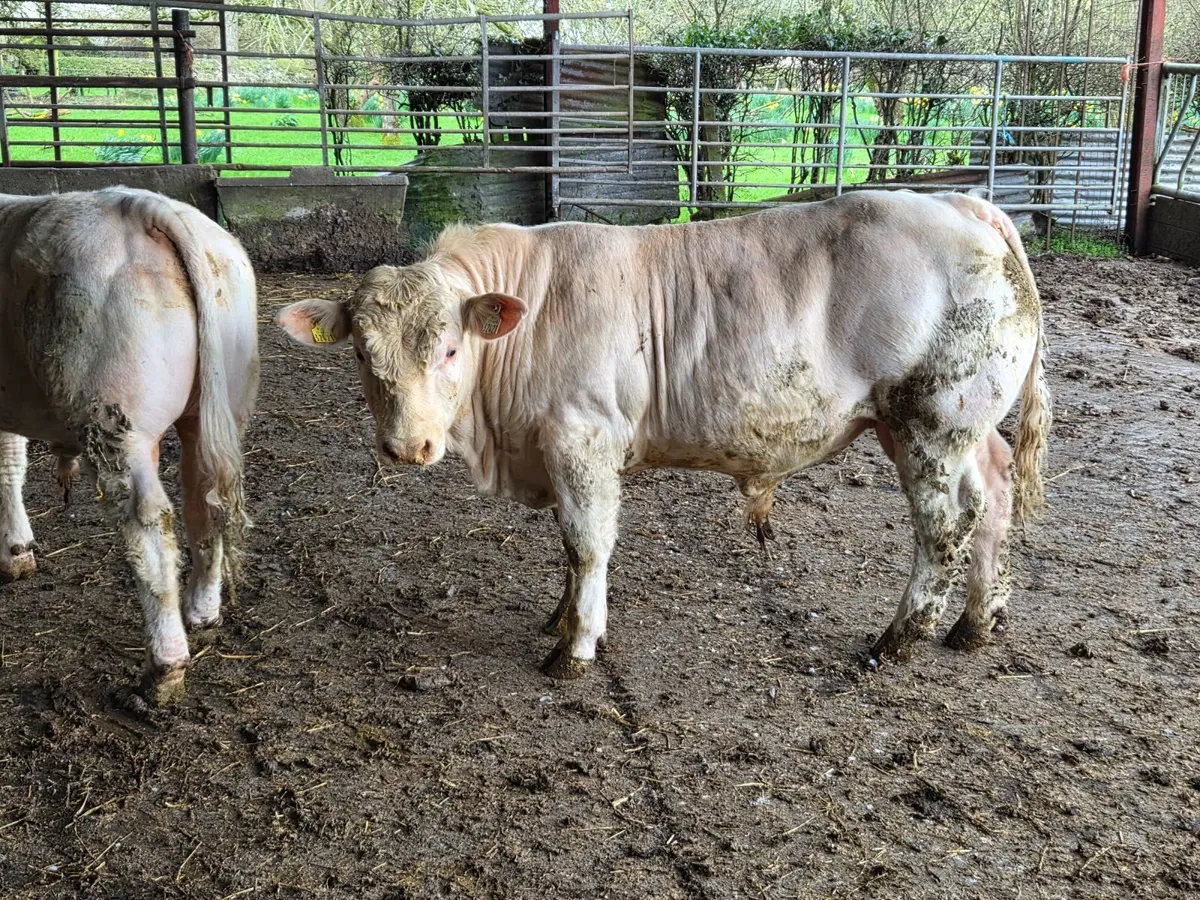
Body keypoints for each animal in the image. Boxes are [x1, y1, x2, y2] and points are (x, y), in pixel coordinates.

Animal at [0, 187, 259, 704]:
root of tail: (139, 207)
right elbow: (12, 463)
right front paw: (17, 551)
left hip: (119, 424)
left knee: (149, 525)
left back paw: (163, 669)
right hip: (217, 408)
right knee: (205, 505)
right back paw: (202, 610)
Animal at [278, 190, 1049, 679]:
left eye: (447, 349)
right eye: (360, 353)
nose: (408, 446)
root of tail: (962, 204)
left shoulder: (582, 438)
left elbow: (587, 542)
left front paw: (576, 647)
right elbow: (569, 546)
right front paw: (560, 617)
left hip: (931, 420)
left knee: (946, 526)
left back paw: (898, 639)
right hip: (954, 426)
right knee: (993, 498)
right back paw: (976, 625)